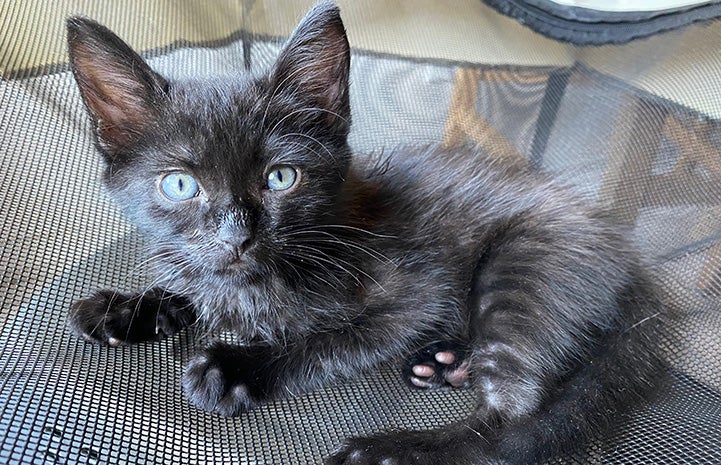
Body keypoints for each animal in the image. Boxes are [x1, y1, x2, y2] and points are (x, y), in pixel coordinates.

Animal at [66, 3, 664, 464]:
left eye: (281, 177)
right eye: (180, 185)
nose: (236, 237)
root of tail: (630, 261)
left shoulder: (416, 295)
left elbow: (328, 341)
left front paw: (239, 365)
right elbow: (194, 282)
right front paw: (127, 306)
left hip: (525, 265)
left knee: (514, 414)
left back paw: (396, 449)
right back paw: (446, 363)